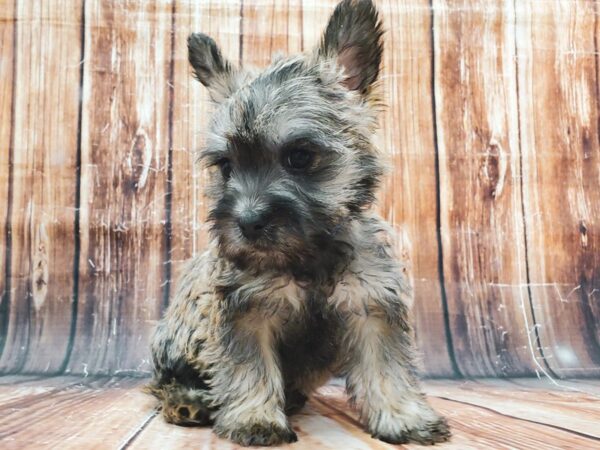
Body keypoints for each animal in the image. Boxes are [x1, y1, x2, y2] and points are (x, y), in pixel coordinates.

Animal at [149, 0, 450, 442]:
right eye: (226, 166)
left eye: (300, 157)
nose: (248, 223)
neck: (309, 256)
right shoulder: (247, 311)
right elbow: (249, 368)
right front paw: (255, 418)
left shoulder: (372, 306)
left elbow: (386, 368)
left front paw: (404, 416)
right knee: (164, 381)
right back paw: (187, 402)